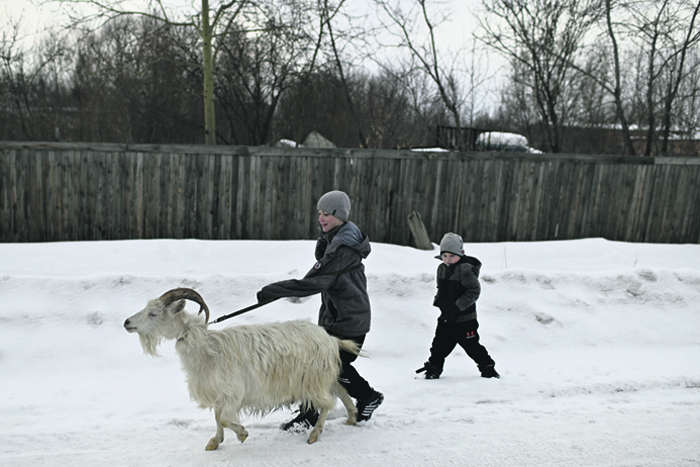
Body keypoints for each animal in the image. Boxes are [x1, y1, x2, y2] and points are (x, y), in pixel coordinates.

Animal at [122, 288, 358, 452]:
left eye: (153, 314)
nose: (126, 322)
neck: (206, 347)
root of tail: (330, 338)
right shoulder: (219, 392)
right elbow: (218, 417)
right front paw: (214, 442)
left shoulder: (233, 392)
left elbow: (224, 418)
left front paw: (242, 434)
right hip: (323, 376)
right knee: (341, 392)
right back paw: (351, 418)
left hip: (314, 380)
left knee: (326, 404)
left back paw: (314, 434)